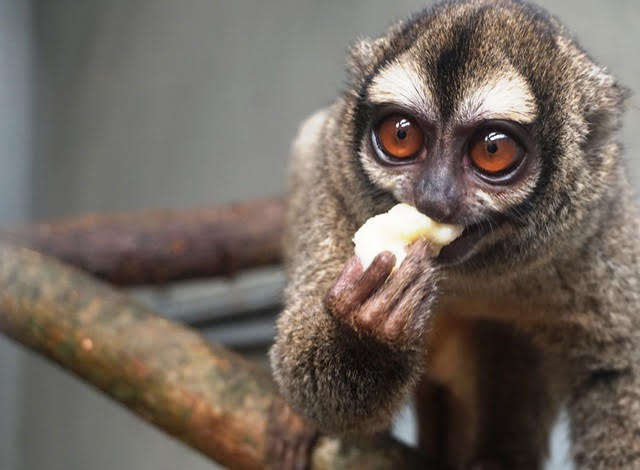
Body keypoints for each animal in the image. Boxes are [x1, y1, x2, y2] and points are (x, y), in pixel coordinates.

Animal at [269, 1, 640, 469]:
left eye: (492, 149)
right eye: (401, 135)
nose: (434, 197)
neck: (471, 274)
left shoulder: (599, 227)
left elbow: (616, 370)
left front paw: (373, 318)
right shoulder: (333, 177)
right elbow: (307, 375)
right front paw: (367, 328)